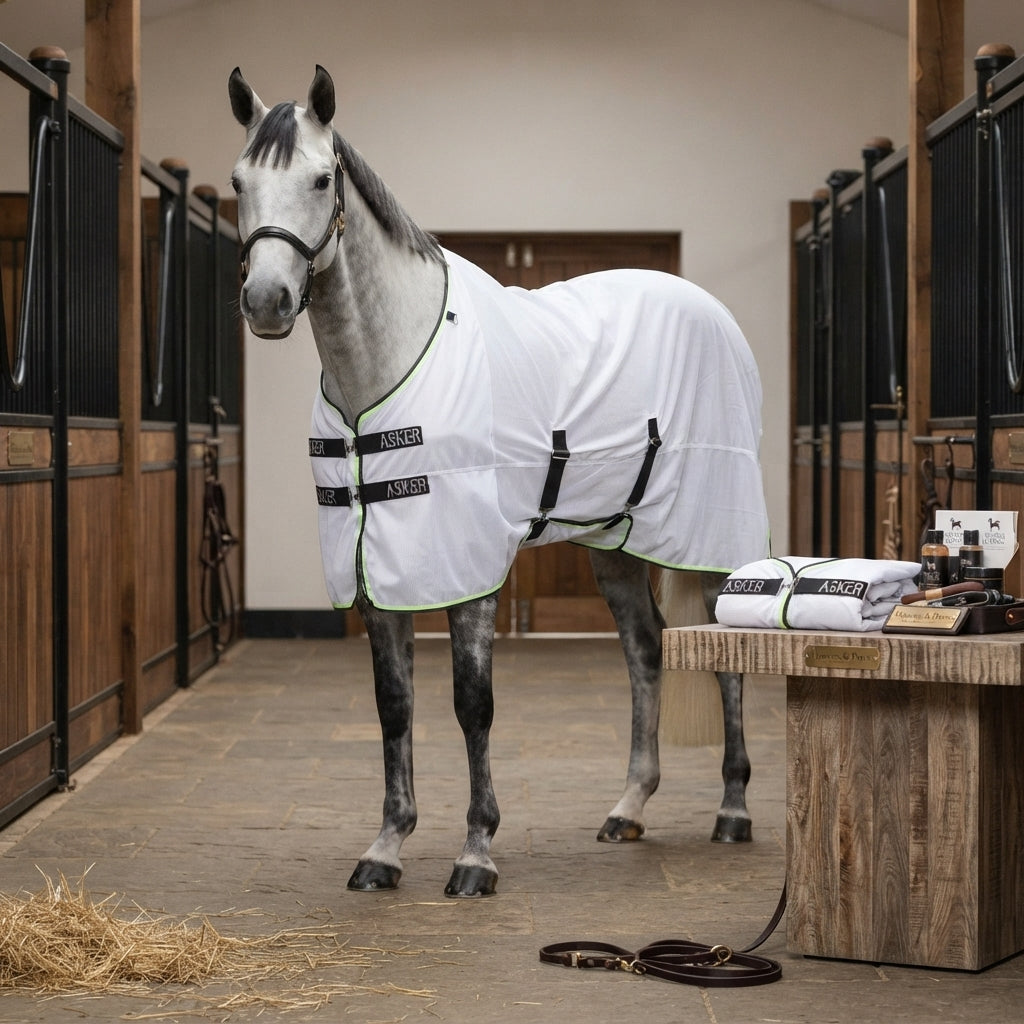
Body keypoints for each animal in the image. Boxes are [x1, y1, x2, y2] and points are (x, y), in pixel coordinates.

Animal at [227, 65, 771, 898]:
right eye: (238, 182)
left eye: (320, 179)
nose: (266, 302)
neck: (387, 362)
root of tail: (712, 312)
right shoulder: (375, 565)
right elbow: (393, 705)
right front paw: (386, 848)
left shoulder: (470, 564)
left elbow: (471, 704)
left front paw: (476, 853)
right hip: (616, 543)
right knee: (645, 650)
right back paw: (628, 807)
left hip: (708, 538)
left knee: (726, 657)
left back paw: (733, 812)